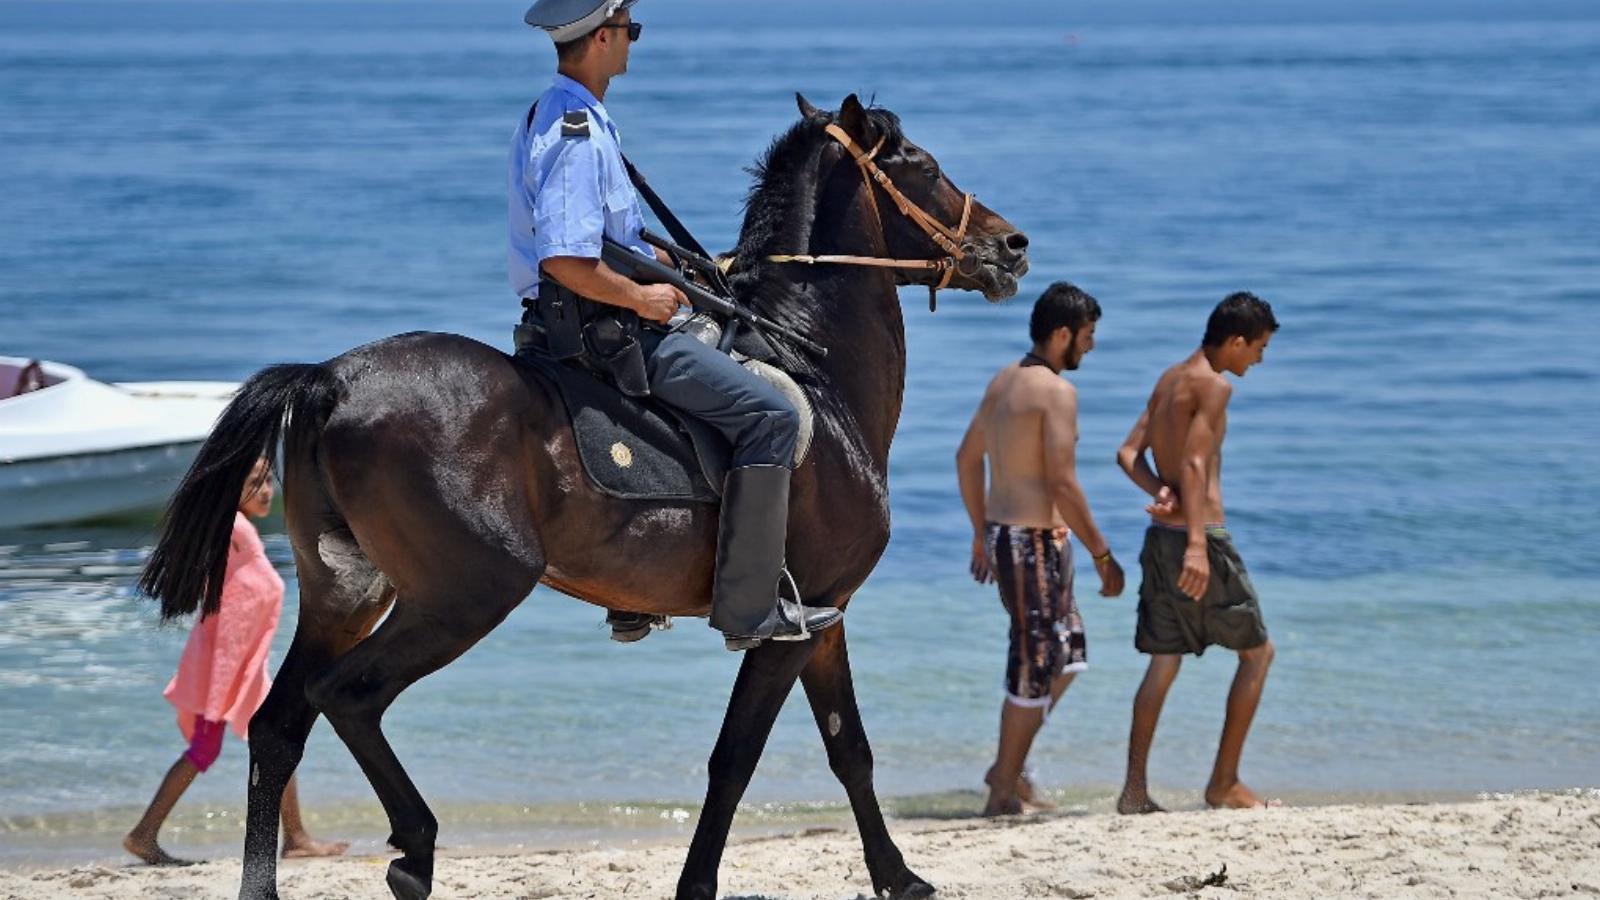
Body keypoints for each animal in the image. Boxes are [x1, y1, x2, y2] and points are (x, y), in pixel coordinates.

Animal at [144, 92, 1030, 896]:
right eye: (923, 167)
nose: (1011, 245)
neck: (813, 370)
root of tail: (333, 377)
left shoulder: (825, 613)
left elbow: (850, 748)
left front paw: (899, 877)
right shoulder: (791, 622)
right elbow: (736, 758)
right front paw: (699, 884)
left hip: (346, 593)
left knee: (279, 723)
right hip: (465, 595)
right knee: (348, 698)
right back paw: (415, 847)